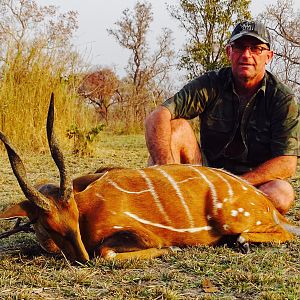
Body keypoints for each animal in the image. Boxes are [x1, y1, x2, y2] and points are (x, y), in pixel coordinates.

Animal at [0, 95, 298, 262]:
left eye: (74, 214)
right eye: (48, 225)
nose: (80, 258)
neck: (87, 209)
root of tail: (265, 202)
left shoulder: (140, 235)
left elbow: (106, 254)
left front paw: (172, 250)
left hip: (230, 218)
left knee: (284, 233)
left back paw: (243, 241)